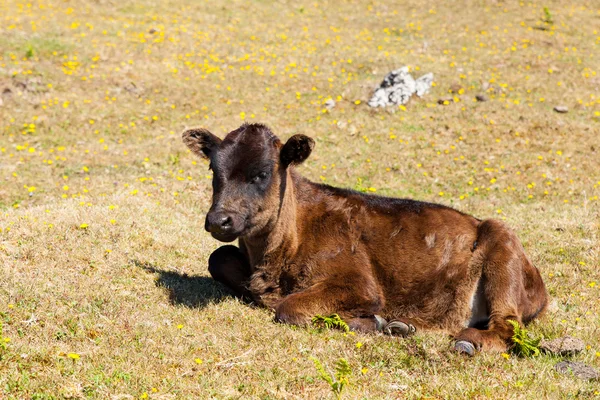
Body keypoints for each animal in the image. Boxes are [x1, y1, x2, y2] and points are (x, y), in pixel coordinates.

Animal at [183, 123, 548, 354]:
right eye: (214, 172)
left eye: (262, 174)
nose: (219, 219)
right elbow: (218, 257)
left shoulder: (359, 283)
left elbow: (289, 308)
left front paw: (376, 323)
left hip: (503, 247)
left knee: (507, 327)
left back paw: (467, 340)